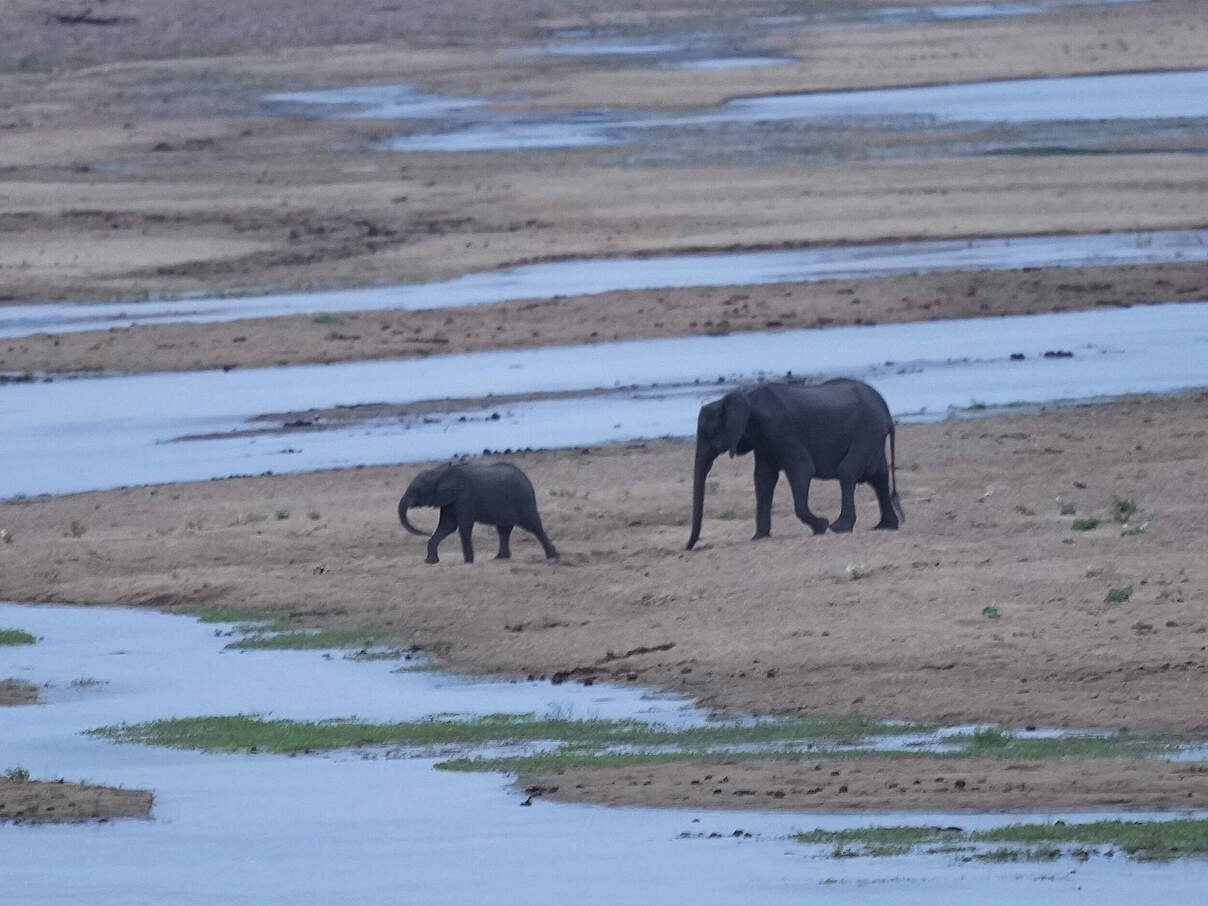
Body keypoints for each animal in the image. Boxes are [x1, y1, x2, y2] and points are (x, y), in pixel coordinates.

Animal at [401, 463, 560, 565]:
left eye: (417, 489)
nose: (425, 532)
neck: (440, 473)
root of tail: (528, 482)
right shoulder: (449, 501)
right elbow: (447, 526)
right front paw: (430, 562)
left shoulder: (464, 498)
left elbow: (463, 527)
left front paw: (468, 562)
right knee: (504, 530)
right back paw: (500, 558)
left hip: (522, 501)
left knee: (533, 526)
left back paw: (553, 556)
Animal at [686, 379, 903, 550]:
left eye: (709, 432)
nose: (690, 547)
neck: (746, 398)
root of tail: (886, 411)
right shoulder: (763, 440)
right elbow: (763, 479)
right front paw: (759, 537)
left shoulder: (780, 430)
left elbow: (801, 470)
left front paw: (821, 526)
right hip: (872, 434)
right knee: (878, 476)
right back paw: (886, 526)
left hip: (868, 429)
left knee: (847, 471)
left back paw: (839, 528)